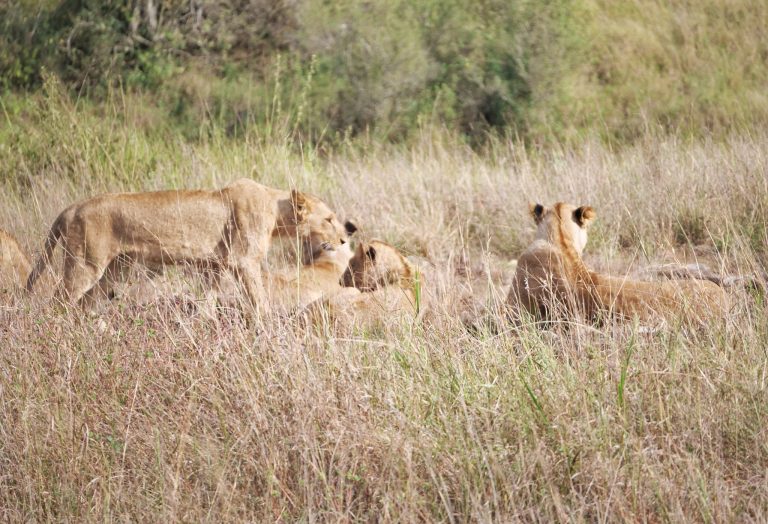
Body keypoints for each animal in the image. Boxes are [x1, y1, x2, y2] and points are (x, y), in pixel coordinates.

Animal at [26, 180, 352, 312]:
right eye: (329, 219)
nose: (344, 239)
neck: (276, 209)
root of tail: (72, 207)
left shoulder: (215, 267)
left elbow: (207, 301)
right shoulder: (244, 261)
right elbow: (259, 300)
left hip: (118, 269)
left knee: (84, 303)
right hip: (85, 264)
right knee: (58, 302)